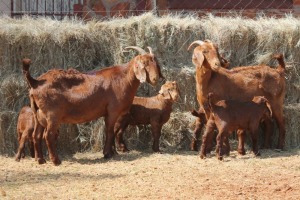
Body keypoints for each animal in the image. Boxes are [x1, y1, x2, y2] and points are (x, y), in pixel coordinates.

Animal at [22, 46, 164, 165]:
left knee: (36, 135)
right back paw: (56, 161)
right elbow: (110, 130)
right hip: (52, 115)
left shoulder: (108, 113)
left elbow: (112, 131)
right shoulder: (113, 110)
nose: (155, 79)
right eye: (144, 64)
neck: (124, 78)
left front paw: (113, 152)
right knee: (48, 135)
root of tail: (35, 82)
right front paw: (107, 153)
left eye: (156, 63)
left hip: (38, 114)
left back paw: (40, 160)